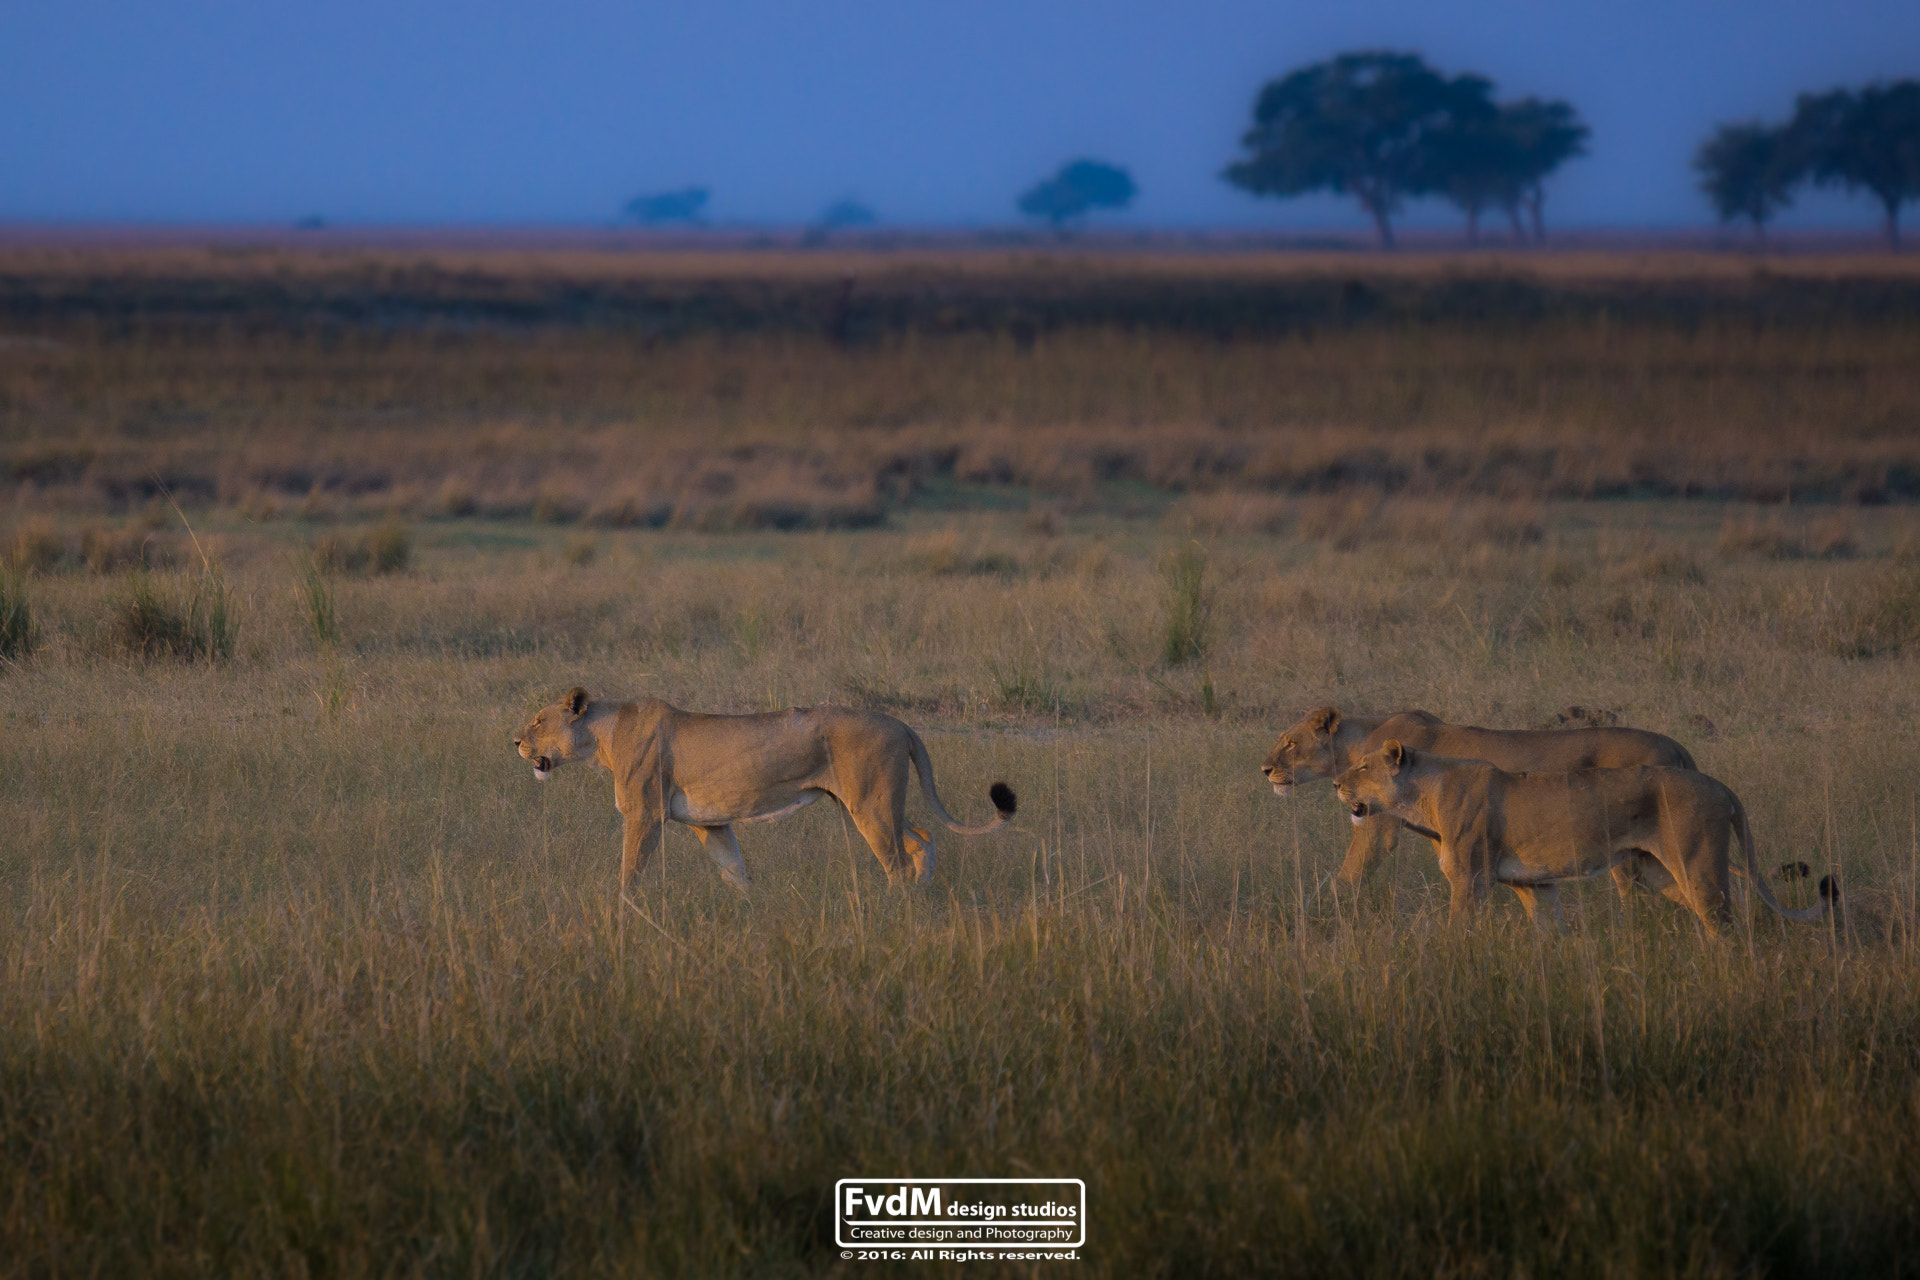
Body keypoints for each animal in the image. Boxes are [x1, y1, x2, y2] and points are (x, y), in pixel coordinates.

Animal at [510, 690, 1021, 890]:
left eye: (538, 720)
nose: (514, 742)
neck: (604, 735)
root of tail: (901, 724)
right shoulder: (712, 823)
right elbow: (735, 871)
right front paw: (751, 911)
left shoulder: (644, 814)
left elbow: (629, 871)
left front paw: (622, 911)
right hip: (873, 803)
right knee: (924, 841)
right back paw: (923, 894)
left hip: (871, 805)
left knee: (896, 861)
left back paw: (897, 908)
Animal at [1259, 706, 1697, 898]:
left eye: (1291, 743)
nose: (1264, 769)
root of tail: (1678, 747)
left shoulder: (1380, 824)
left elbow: (1351, 871)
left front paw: (1325, 908)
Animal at [1328, 740, 1835, 932]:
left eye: (1363, 767)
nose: (1334, 783)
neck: (1425, 796)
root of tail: (1719, 785)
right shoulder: (1535, 884)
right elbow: (1550, 931)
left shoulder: (1470, 879)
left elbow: (1459, 929)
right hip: (1664, 874)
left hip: (1698, 865)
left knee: (1723, 922)